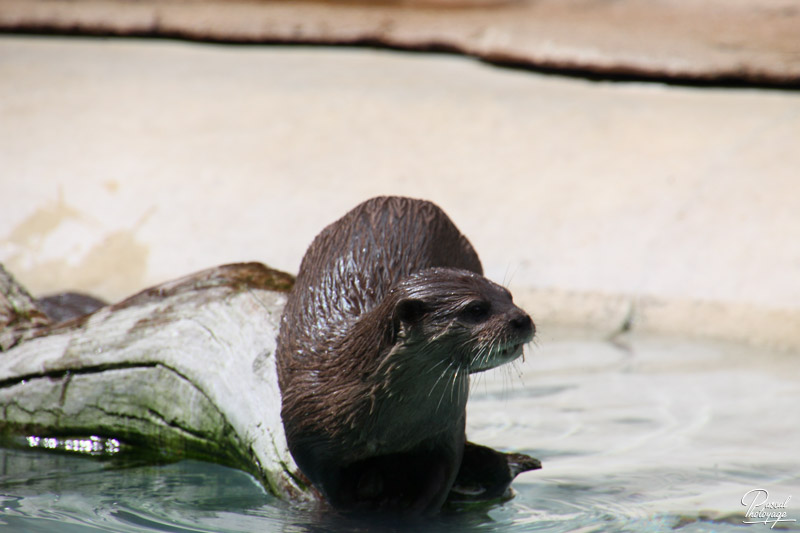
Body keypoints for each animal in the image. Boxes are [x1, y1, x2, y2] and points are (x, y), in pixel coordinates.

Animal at [276, 195, 536, 512]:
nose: (522, 319)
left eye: (509, 296)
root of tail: (403, 199)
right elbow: (331, 489)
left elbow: (440, 479)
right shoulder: (305, 432)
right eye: (476, 309)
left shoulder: (447, 428)